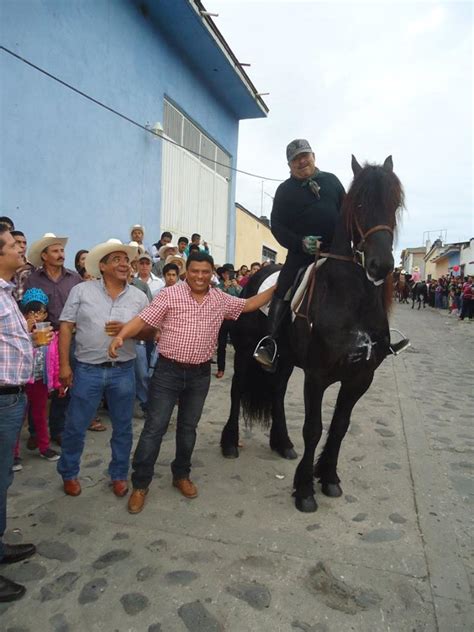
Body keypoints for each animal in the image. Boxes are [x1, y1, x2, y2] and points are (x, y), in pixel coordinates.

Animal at [221, 156, 404, 512]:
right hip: (247, 353)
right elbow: (314, 429)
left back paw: (282, 443)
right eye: (359, 203)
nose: (380, 266)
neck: (352, 299)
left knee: (277, 393)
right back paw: (231, 442)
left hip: (284, 359)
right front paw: (305, 490)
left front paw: (329, 478)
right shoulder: (317, 377)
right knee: (237, 391)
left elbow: (339, 427)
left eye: (394, 204)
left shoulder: (359, 378)